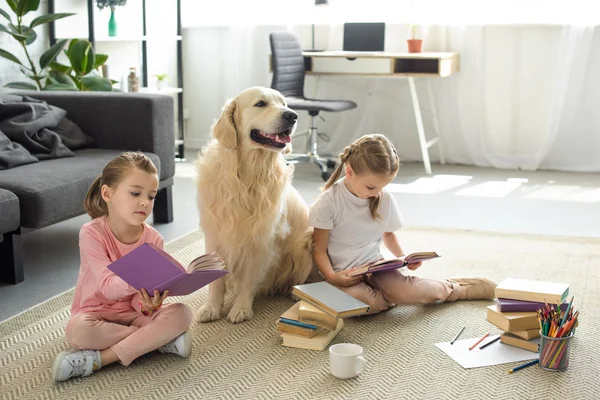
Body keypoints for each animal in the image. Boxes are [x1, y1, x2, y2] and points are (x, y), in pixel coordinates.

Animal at [197, 86, 316, 324]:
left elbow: (249, 279)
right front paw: (212, 307)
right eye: (260, 104)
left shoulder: (261, 239)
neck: (247, 174)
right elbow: (216, 280)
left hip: (306, 241)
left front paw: (240, 308)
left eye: (284, 104)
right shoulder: (214, 234)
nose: (292, 116)